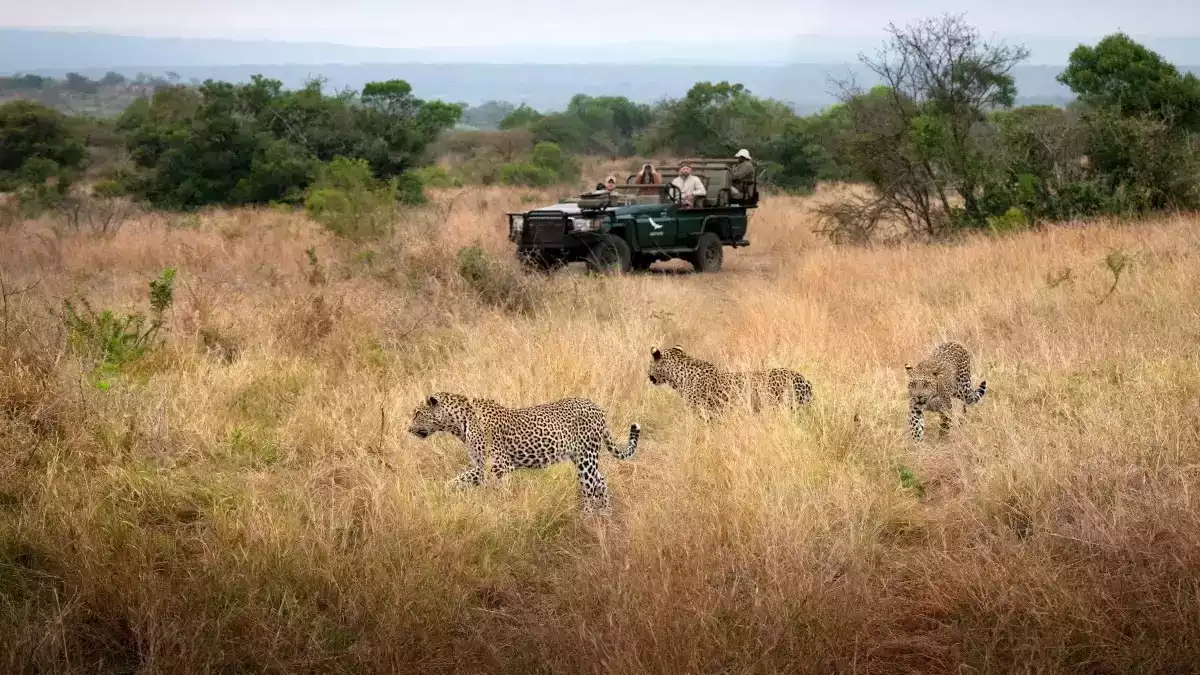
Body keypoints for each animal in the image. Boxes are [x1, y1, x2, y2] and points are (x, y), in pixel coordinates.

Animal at [407, 392, 641, 515]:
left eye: (417, 414)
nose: (408, 429)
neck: (457, 424)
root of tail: (597, 407)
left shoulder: (499, 466)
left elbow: (500, 492)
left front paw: (501, 510)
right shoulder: (482, 467)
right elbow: (457, 481)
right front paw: (444, 494)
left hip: (586, 459)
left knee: (589, 487)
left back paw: (587, 517)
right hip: (582, 458)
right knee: (600, 481)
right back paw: (606, 513)